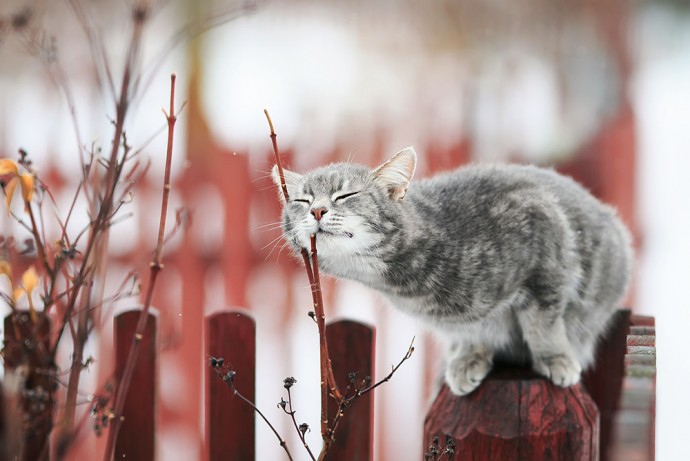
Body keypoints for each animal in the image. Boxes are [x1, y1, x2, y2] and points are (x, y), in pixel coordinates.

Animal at [272, 147, 632, 396]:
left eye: (346, 195)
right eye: (302, 200)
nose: (317, 210)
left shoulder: (545, 248)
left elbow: (543, 323)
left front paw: (555, 358)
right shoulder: (459, 322)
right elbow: (473, 332)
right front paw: (468, 358)